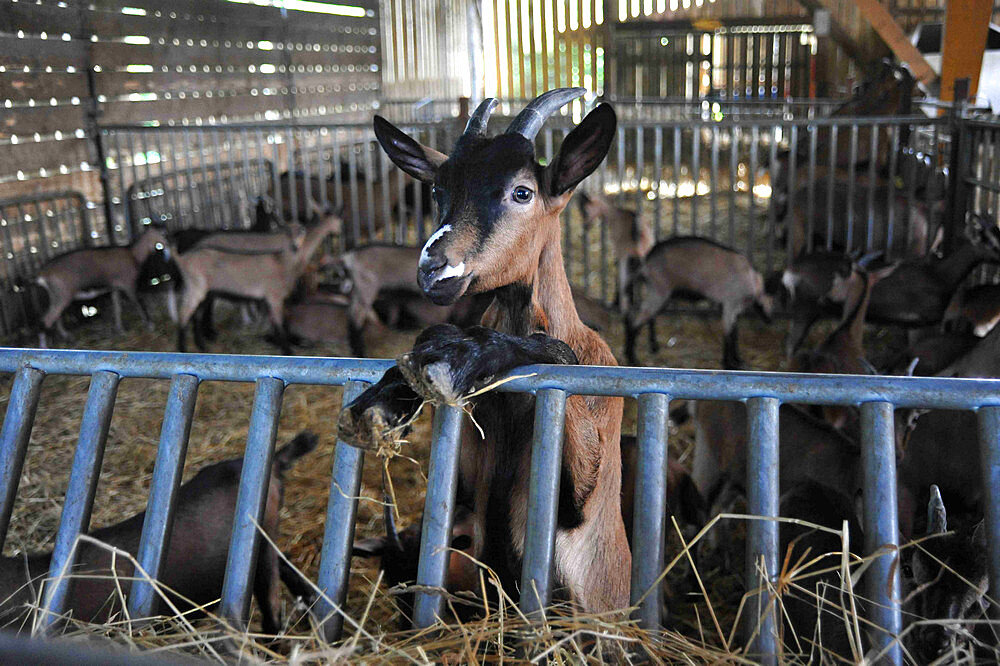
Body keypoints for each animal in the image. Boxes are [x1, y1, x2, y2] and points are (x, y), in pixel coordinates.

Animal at [33, 227, 169, 344]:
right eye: (163, 233)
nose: (170, 244)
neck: (133, 254)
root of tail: (43, 273)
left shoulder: (115, 288)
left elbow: (117, 308)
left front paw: (121, 330)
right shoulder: (128, 285)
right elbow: (139, 303)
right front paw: (151, 326)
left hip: (56, 296)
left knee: (55, 318)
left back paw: (67, 337)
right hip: (63, 295)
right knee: (46, 320)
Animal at [174, 213, 342, 352]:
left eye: (302, 231)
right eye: (288, 232)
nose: (295, 246)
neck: (283, 261)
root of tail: (183, 258)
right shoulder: (274, 297)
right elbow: (279, 323)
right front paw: (287, 350)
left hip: (203, 289)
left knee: (195, 314)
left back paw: (201, 344)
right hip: (197, 286)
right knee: (184, 313)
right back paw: (184, 348)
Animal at [340, 89, 628, 612]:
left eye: (522, 192)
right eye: (437, 190)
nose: (435, 268)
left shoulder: (585, 486)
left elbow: (552, 351)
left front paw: (461, 355)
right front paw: (385, 401)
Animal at [624, 235, 772, 368]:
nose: (769, 320)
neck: (752, 280)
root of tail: (645, 263)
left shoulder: (735, 308)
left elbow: (734, 333)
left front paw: (738, 360)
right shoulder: (729, 304)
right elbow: (728, 334)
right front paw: (728, 364)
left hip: (656, 292)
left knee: (645, 317)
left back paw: (647, 348)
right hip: (660, 291)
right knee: (635, 322)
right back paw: (632, 359)